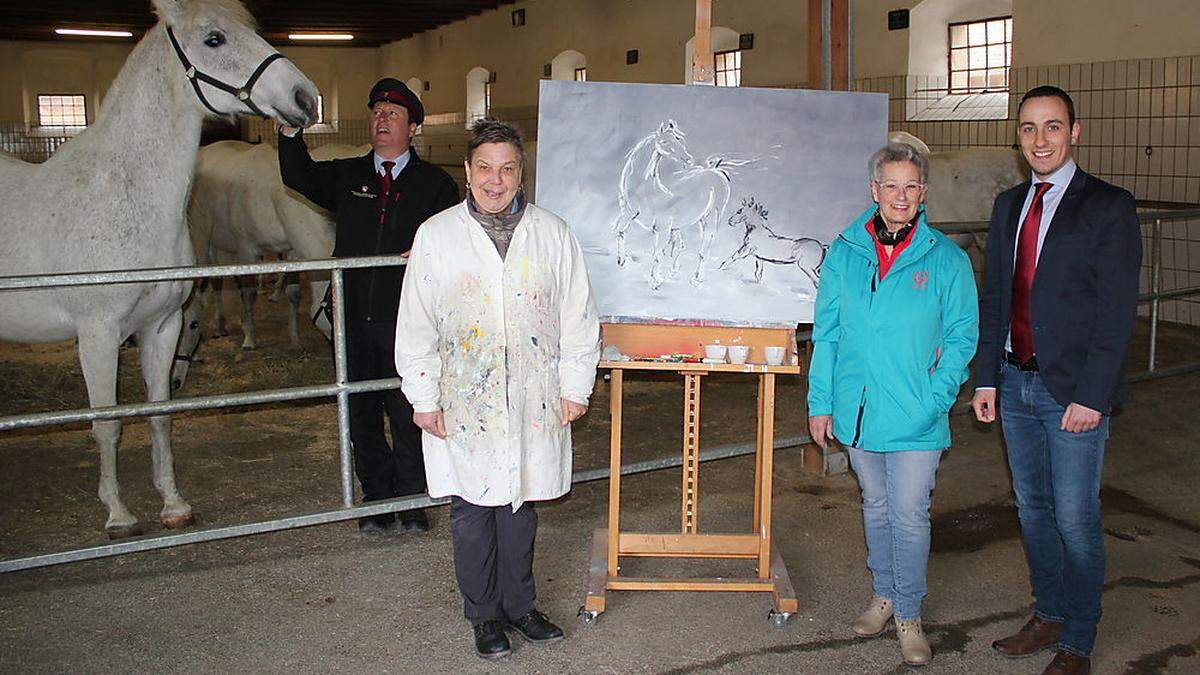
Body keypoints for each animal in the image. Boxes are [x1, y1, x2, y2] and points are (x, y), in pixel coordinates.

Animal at [0, 0, 319, 535]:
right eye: (214, 39)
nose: (306, 97)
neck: (125, 194)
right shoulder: (99, 334)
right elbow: (107, 423)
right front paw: (118, 514)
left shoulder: (161, 325)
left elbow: (159, 413)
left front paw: (173, 504)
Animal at [614, 120, 744, 285]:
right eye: (664, 141)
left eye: (679, 140)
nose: (688, 160)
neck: (646, 192)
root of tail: (715, 171)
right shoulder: (627, 216)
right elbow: (620, 233)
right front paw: (621, 261)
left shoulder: (662, 229)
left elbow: (657, 255)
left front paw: (655, 282)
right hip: (690, 223)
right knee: (683, 246)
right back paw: (675, 271)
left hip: (713, 217)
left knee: (705, 248)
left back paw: (697, 278)